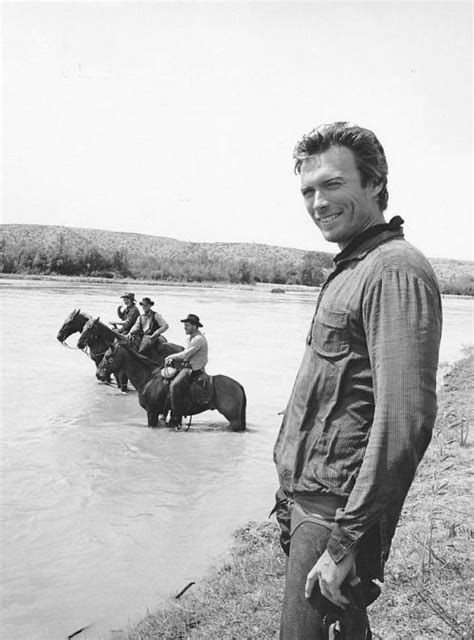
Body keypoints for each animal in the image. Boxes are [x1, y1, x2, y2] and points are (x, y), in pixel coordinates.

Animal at [96, 340, 246, 430]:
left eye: (108, 357)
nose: (99, 374)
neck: (148, 378)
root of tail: (239, 385)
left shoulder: (152, 412)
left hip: (234, 419)